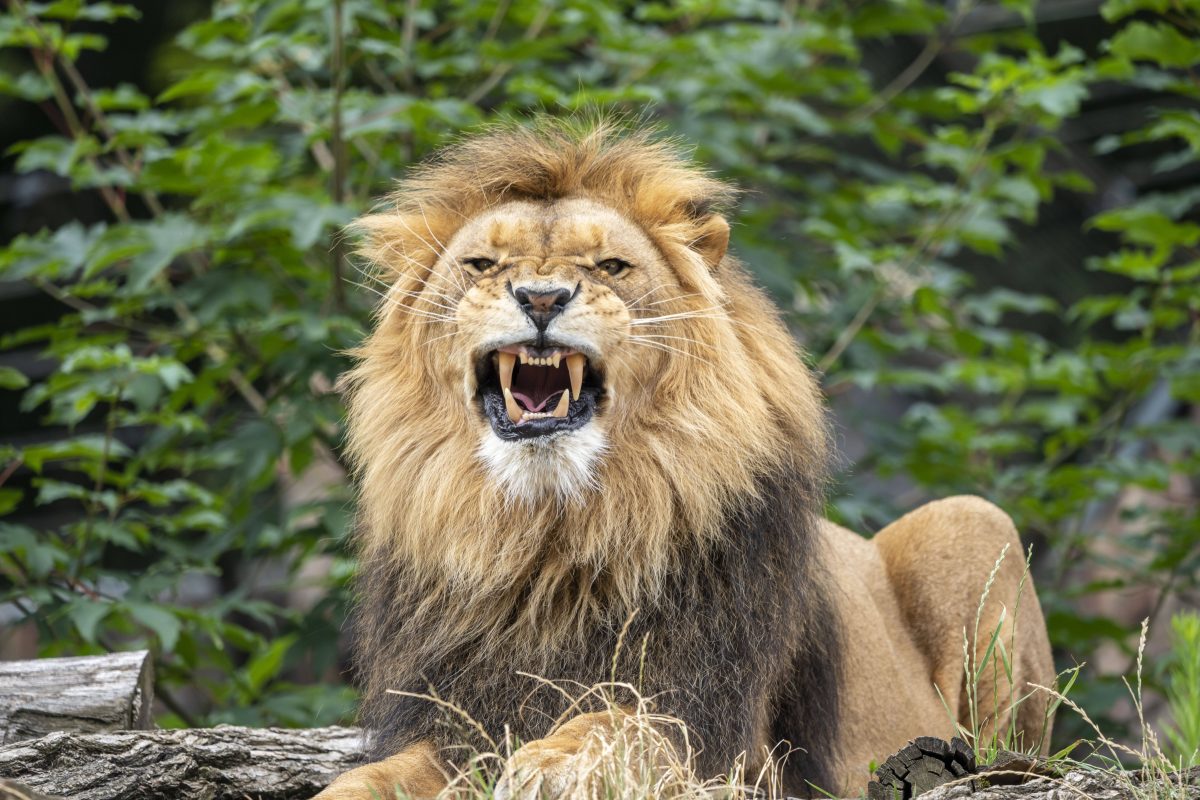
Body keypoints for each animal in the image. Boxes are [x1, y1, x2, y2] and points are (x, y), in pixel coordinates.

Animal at [314, 118, 1056, 800]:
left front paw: (557, 763)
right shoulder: (451, 721)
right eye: (481, 266)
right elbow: (367, 780)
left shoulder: (725, 737)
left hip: (974, 522)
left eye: (610, 267)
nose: (542, 297)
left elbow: (621, 723)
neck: (549, 534)